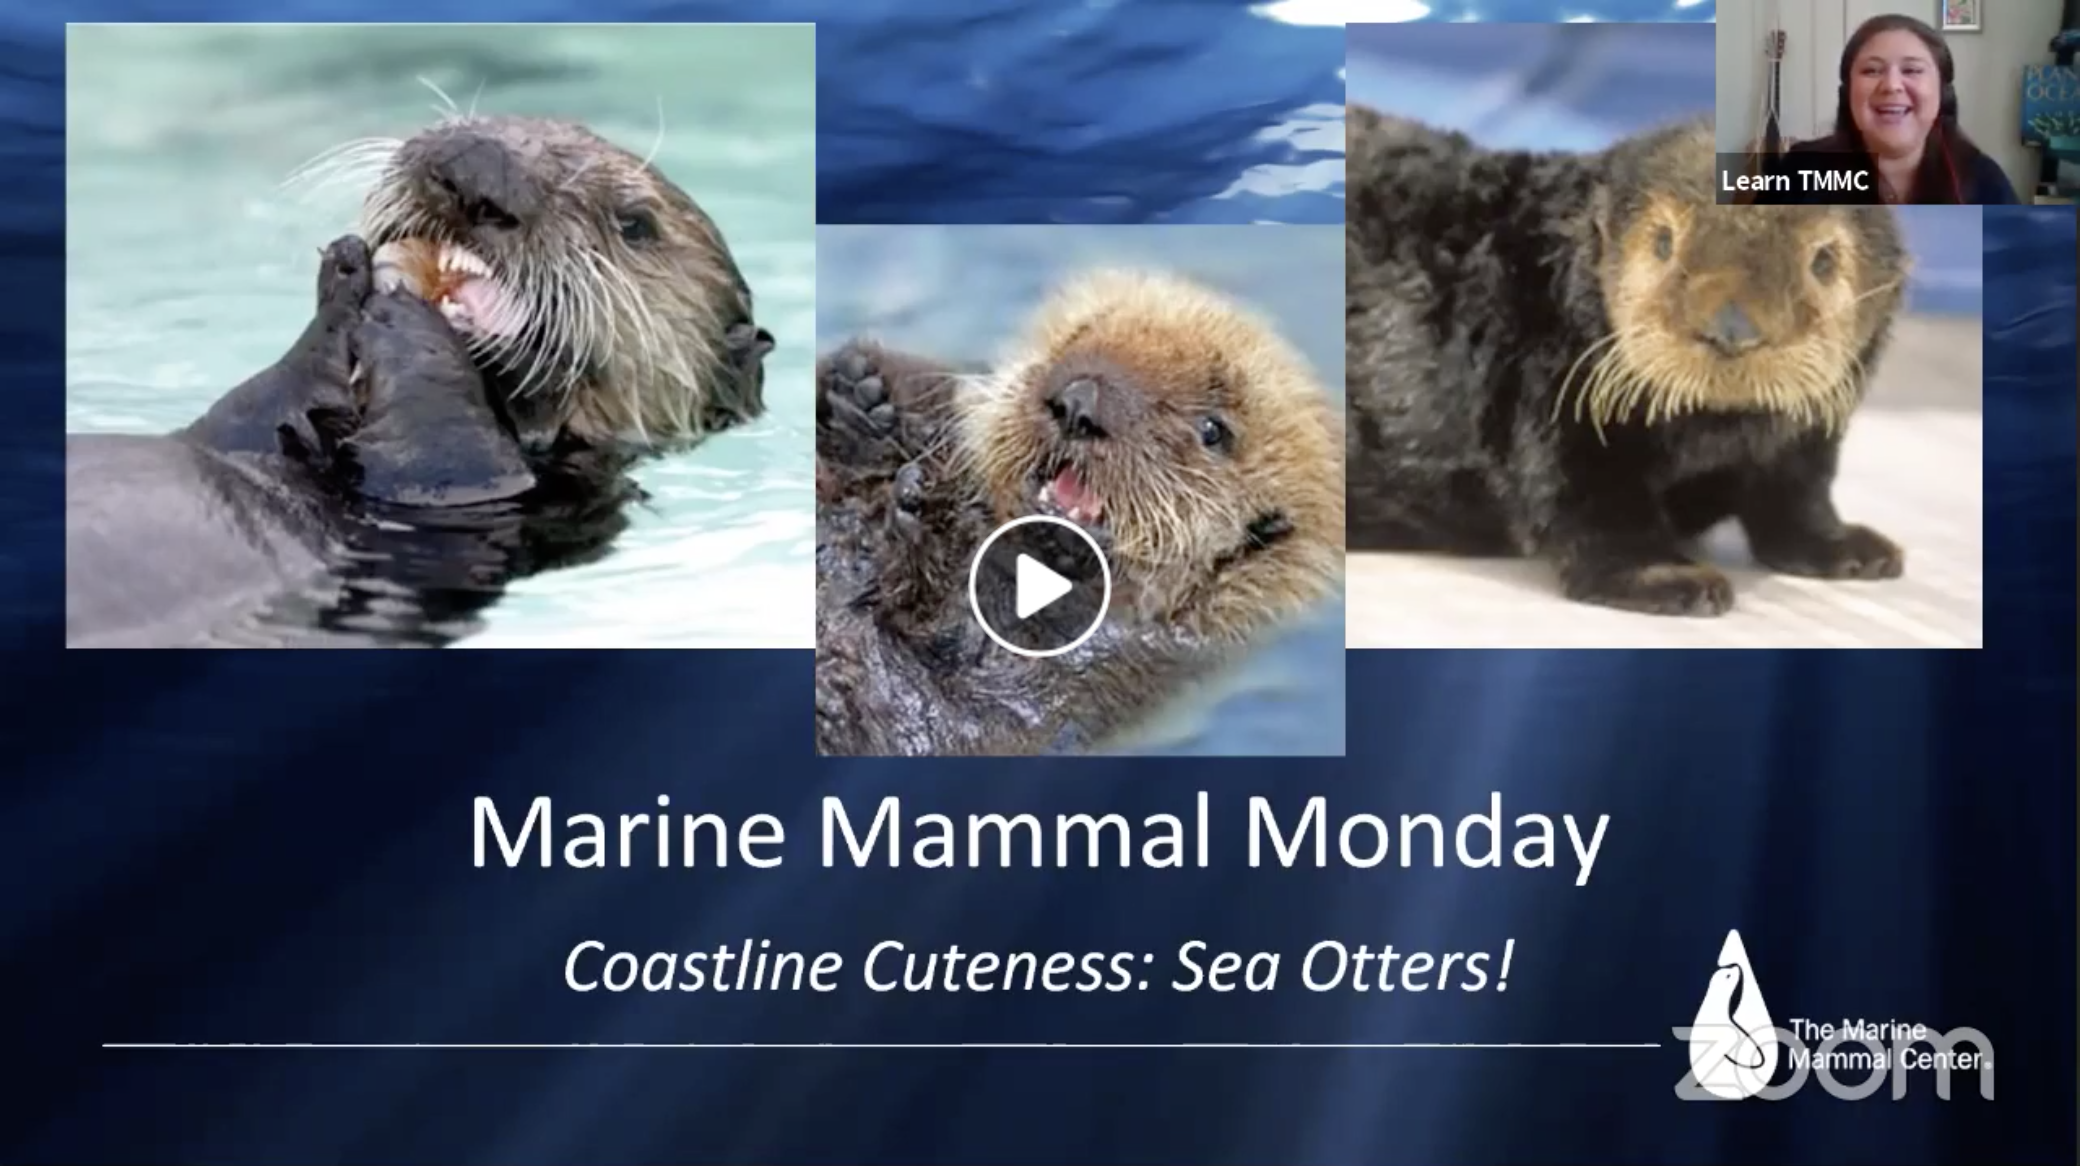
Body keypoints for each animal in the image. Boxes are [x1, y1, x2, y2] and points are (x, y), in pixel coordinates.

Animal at [65, 113, 775, 646]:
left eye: (636, 224)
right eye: (484, 120)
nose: (477, 166)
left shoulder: (489, 509)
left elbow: (446, 460)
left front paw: (412, 325)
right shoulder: (242, 428)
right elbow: (243, 413)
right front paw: (344, 282)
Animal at [815, 270, 1345, 756]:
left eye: (1213, 430)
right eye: (1082, 334)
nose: (1078, 404)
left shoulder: (1094, 677)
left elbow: (945, 709)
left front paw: (936, 514)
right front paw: (865, 395)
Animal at [1345, 109, 1909, 617]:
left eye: (1823, 260)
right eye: (1663, 242)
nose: (1730, 328)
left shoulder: (1807, 433)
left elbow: (1796, 491)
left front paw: (1845, 546)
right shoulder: (1549, 387)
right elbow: (1597, 503)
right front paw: (1666, 576)